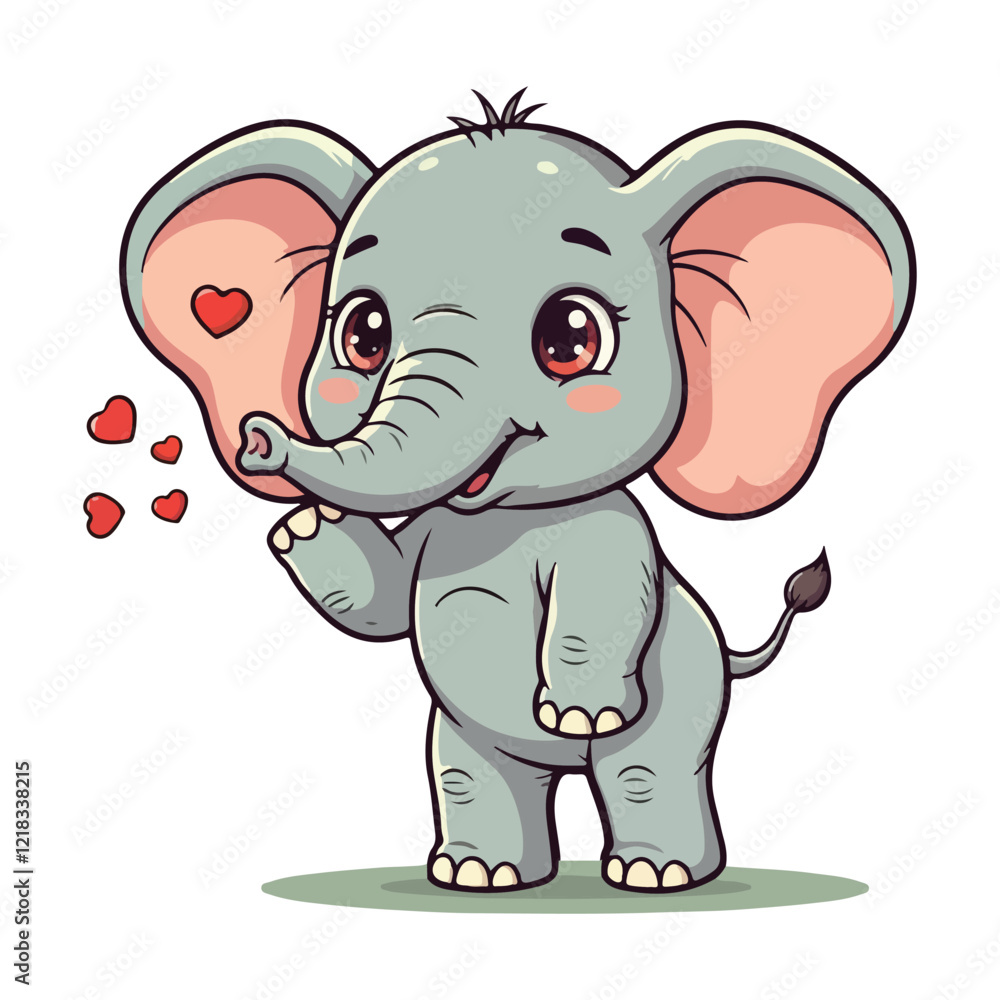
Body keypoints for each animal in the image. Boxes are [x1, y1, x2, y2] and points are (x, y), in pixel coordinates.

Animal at [121, 90, 914, 893]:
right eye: (362, 333)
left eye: (570, 337)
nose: (259, 438)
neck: (505, 515)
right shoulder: (438, 530)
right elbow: (384, 610)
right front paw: (307, 527)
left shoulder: (611, 531)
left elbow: (601, 596)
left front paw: (579, 715)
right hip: (463, 735)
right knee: (471, 773)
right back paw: (481, 874)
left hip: (684, 692)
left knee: (645, 772)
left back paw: (653, 873)